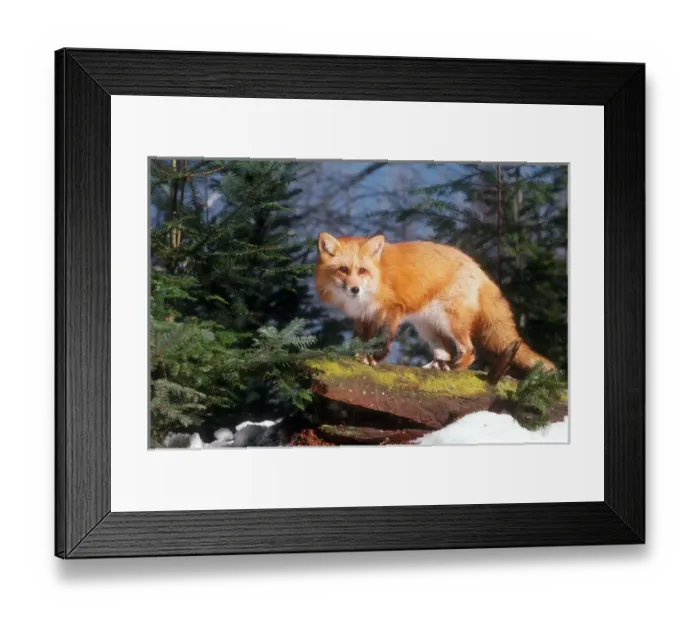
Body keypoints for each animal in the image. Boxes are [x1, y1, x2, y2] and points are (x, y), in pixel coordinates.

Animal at [314, 232, 555, 376]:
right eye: (343, 270)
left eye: (362, 270)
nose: (354, 289)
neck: (377, 279)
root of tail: (478, 268)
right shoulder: (362, 317)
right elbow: (359, 340)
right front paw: (358, 356)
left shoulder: (390, 311)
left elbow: (381, 339)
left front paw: (374, 358)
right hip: (427, 327)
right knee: (445, 352)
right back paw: (437, 366)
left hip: (450, 321)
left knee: (469, 350)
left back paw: (456, 368)